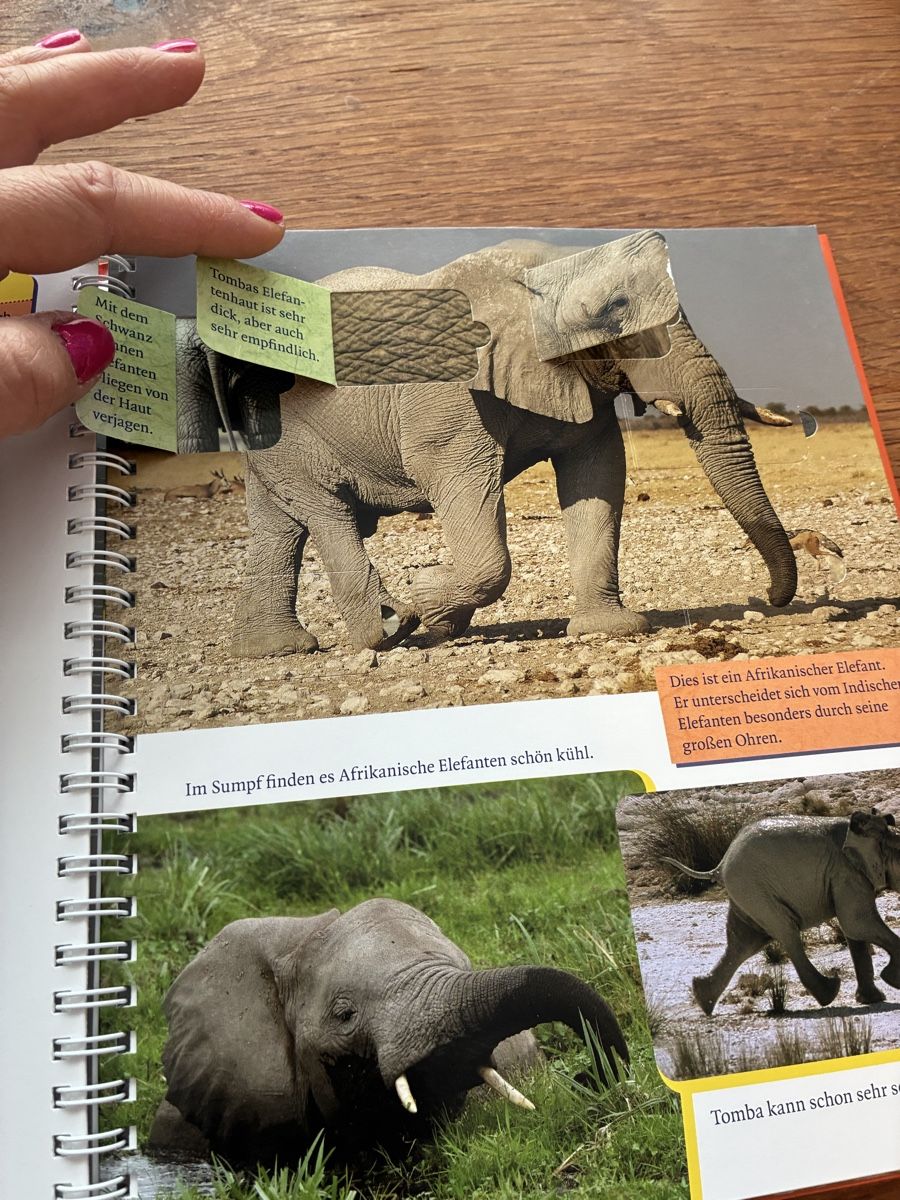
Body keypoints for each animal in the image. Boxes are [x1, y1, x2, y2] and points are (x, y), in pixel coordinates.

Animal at [176, 229, 797, 658]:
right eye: (610, 314)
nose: (767, 600)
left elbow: (597, 474)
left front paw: (609, 630)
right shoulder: (450, 400)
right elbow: (466, 494)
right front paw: (426, 596)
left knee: (279, 529)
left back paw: (276, 649)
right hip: (280, 430)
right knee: (326, 512)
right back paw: (388, 628)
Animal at [661, 810, 900, 1013]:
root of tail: (720, 864)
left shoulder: (848, 877)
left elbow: (854, 930)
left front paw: (873, 999)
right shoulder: (846, 873)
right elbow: (858, 923)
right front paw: (891, 982)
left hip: (746, 895)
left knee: (744, 943)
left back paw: (703, 999)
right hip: (754, 889)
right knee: (786, 932)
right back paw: (829, 993)